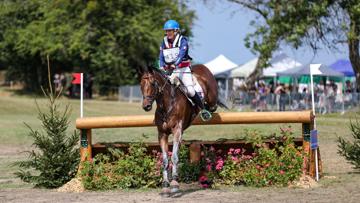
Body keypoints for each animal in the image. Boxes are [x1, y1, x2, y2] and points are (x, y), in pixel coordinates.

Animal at [140, 64, 219, 196]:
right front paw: (165, 186)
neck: (166, 105)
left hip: (212, 98)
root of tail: (201, 66)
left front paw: (174, 184)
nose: (146, 106)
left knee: (212, 105)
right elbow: (165, 160)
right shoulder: (162, 134)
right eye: (141, 84)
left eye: (153, 83)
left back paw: (206, 111)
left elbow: (174, 157)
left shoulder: (177, 131)